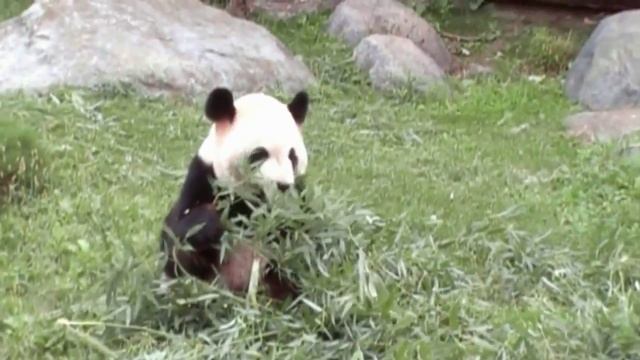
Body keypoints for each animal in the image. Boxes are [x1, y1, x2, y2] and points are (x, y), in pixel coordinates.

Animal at [159, 86, 310, 300]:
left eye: (292, 156)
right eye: (259, 154)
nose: (283, 185)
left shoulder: (299, 198)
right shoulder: (204, 179)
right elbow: (177, 241)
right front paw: (212, 221)